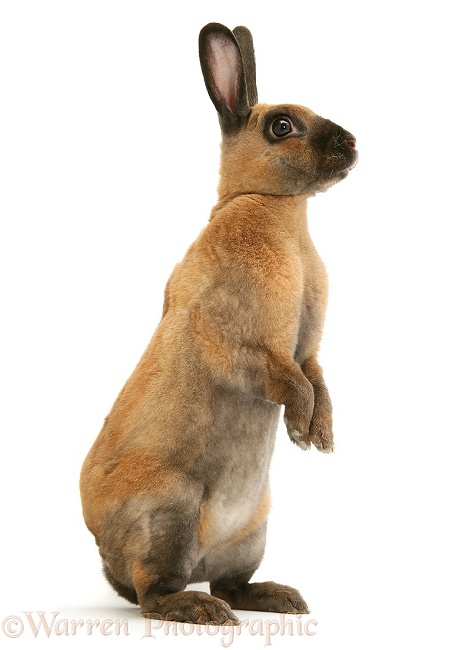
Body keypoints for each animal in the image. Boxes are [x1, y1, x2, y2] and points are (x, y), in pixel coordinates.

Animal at [79, 21, 356, 624]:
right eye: (282, 126)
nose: (352, 144)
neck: (268, 204)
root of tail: (106, 555)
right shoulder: (245, 349)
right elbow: (291, 382)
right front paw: (300, 432)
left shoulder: (307, 350)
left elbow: (317, 379)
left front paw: (322, 438)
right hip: (171, 516)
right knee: (153, 595)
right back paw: (201, 610)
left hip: (252, 533)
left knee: (231, 582)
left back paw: (281, 599)